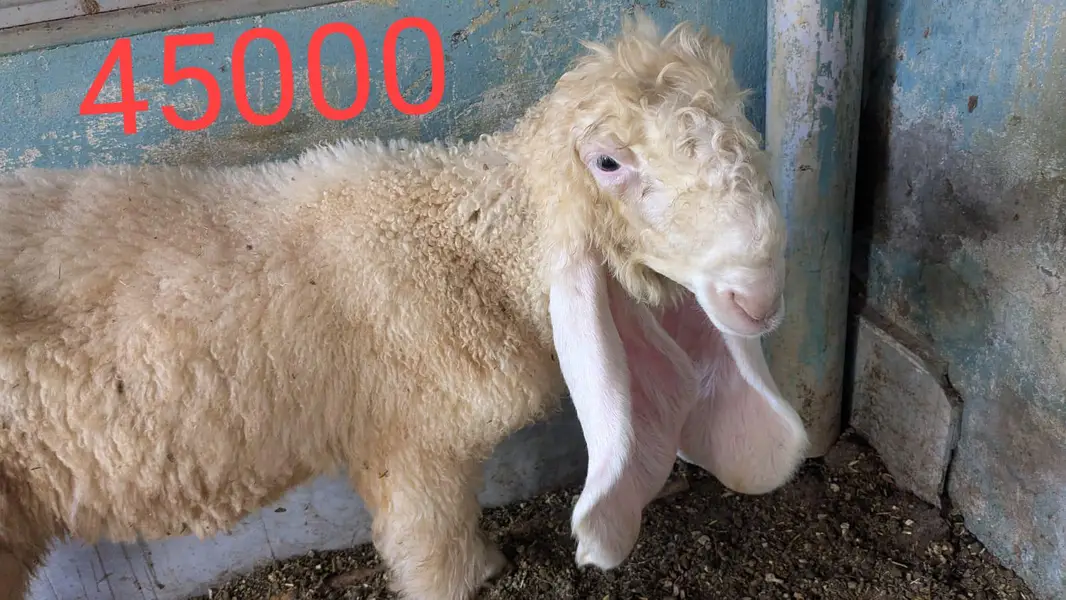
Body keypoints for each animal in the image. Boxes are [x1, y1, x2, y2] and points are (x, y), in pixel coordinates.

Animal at [0, 11, 809, 600]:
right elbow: (433, 551)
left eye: (741, 122)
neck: (462, 246)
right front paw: (478, 573)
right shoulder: (417, 447)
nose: (760, 295)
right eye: (608, 163)